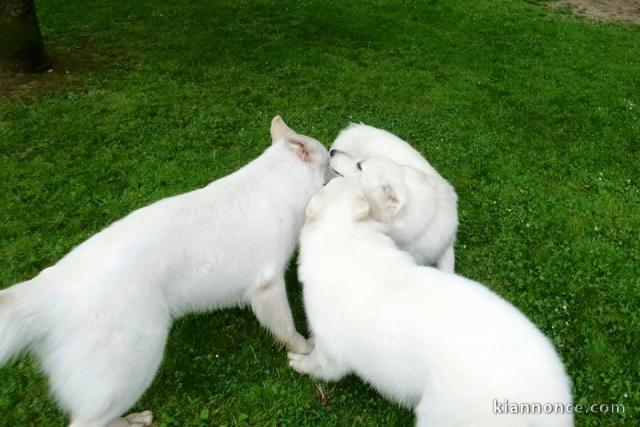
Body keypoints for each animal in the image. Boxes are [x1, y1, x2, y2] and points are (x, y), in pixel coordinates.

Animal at [0, 116, 328, 427]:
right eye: (329, 163)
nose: (337, 169)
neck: (278, 184)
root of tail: (49, 291)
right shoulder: (268, 287)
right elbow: (288, 329)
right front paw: (306, 349)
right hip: (136, 363)